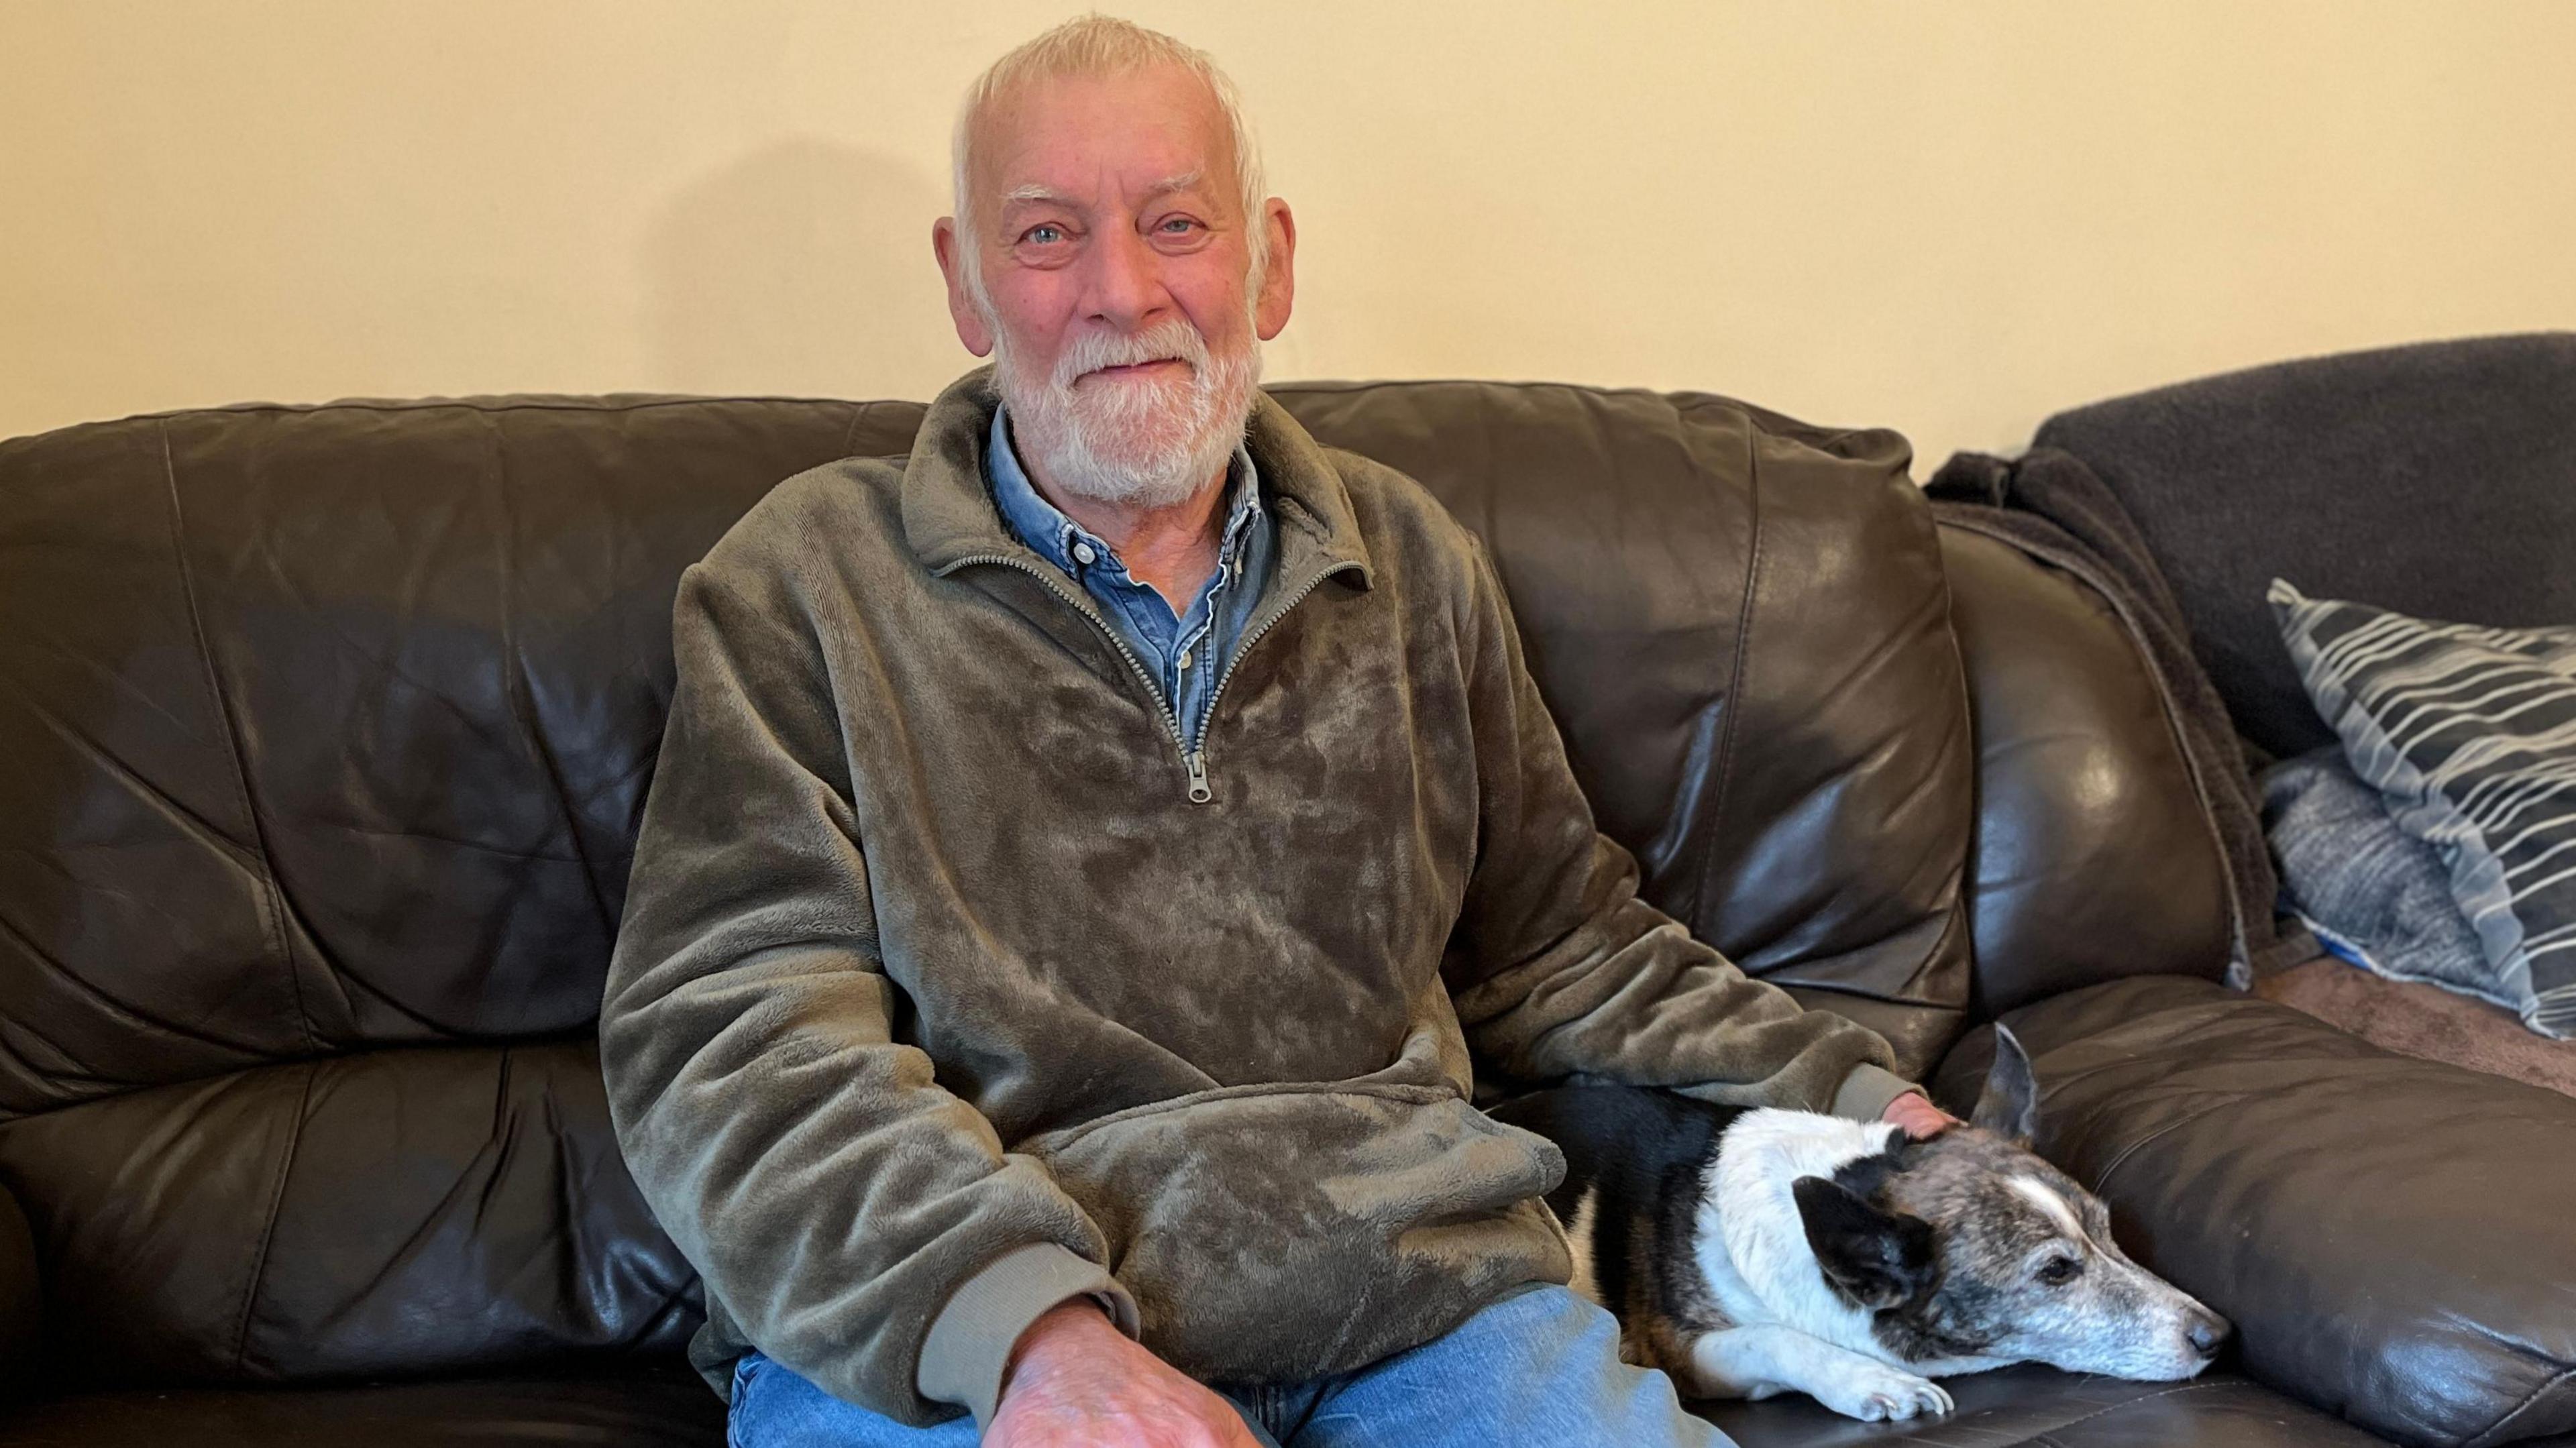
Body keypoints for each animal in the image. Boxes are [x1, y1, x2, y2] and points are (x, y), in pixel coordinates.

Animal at [1494, 1020, 2236, 1412]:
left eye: (2110, 1230)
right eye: (2055, 1271)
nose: (2220, 1336)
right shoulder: (1678, 1348)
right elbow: (1776, 1339)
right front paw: (1873, 1382)